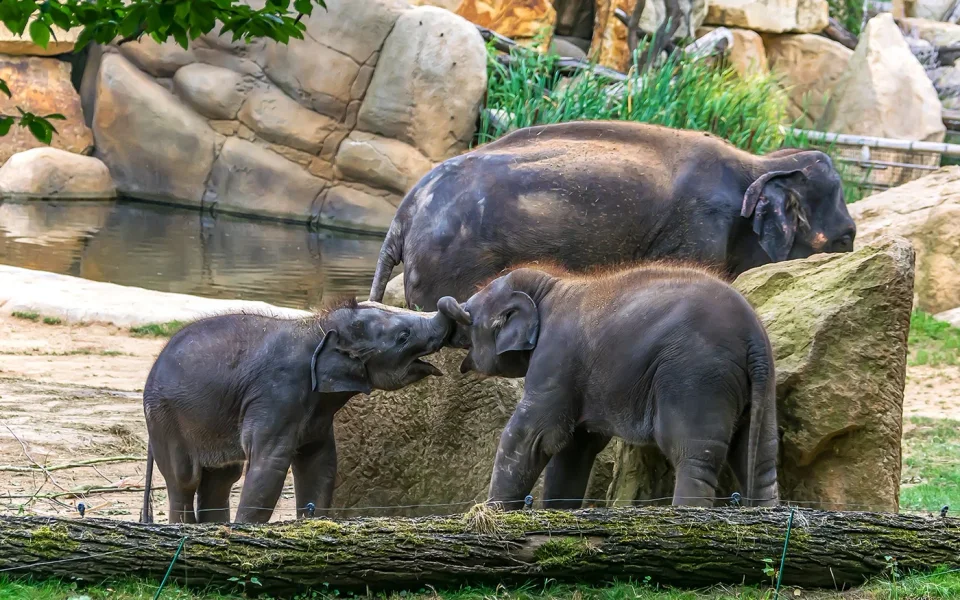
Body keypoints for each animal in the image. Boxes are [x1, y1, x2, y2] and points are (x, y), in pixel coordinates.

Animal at [140, 299, 452, 524]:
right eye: (403, 336)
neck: (318, 326)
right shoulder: (277, 395)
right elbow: (269, 466)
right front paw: (246, 530)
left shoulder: (318, 412)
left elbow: (320, 465)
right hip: (165, 417)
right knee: (184, 479)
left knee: (222, 478)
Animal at [369, 121, 857, 311]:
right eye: (846, 240)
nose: (849, 241)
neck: (760, 162)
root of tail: (402, 217)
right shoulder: (700, 226)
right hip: (453, 261)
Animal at [437, 263, 779, 509]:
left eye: (469, 316)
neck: (549, 287)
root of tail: (753, 336)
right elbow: (575, 446)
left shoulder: (555, 358)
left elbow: (534, 435)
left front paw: (487, 514)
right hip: (760, 386)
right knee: (760, 459)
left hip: (697, 376)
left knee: (693, 454)